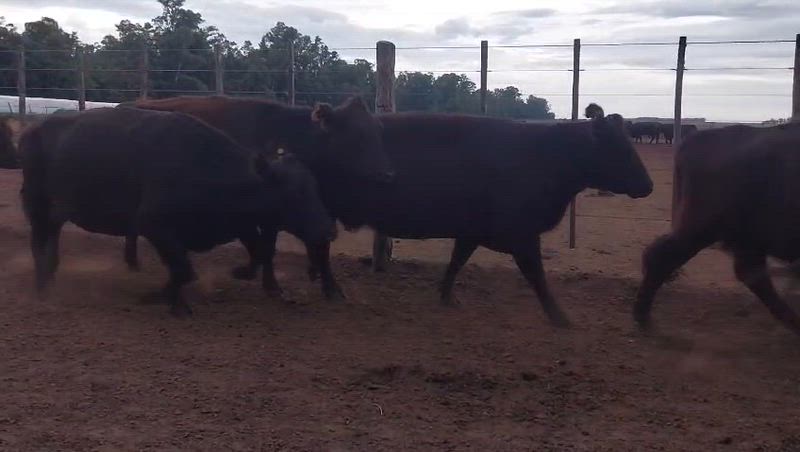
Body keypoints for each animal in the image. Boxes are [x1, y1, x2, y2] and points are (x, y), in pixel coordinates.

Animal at [19, 107, 336, 316]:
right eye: (294, 194)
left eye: (315, 188)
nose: (327, 230)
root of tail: (35, 129)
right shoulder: (154, 226)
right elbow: (184, 269)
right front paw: (164, 299)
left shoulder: (239, 223)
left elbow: (259, 254)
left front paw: (239, 272)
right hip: (38, 207)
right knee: (38, 244)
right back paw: (42, 287)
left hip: (56, 213)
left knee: (51, 242)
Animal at [119, 95, 392, 300]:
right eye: (356, 136)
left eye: (379, 133)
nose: (386, 174)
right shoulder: (264, 216)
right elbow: (265, 249)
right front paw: (266, 283)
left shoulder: (318, 213)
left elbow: (320, 247)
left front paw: (330, 287)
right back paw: (132, 263)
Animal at [306, 104, 651, 326]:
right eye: (619, 148)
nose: (648, 185)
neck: (544, 155)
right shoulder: (523, 235)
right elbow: (537, 275)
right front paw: (560, 317)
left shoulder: (472, 231)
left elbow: (457, 261)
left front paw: (447, 296)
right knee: (321, 248)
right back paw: (331, 290)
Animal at [635, 122, 800, 335]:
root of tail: (698, 140)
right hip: (704, 230)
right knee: (662, 257)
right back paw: (643, 317)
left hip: (744, 237)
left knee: (752, 274)